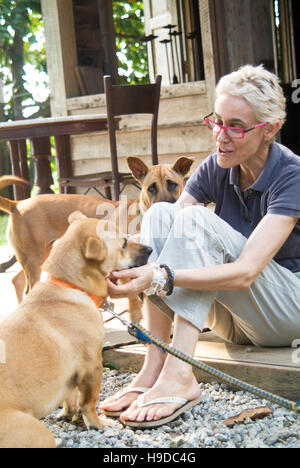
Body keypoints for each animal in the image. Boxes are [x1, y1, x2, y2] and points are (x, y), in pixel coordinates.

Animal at [0, 156, 193, 314]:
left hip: (38, 256)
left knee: (17, 280)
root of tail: (17, 204)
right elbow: (135, 305)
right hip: (34, 259)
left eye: (173, 184)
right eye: (151, 188)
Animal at [0, 210, 152, 448]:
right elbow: (88, 402)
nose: (150, 249)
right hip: (39, 433)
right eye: (124, 243)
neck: (68, 284)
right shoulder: (92, 366)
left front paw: (67, 413)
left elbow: (70, 396)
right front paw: (97, 423)